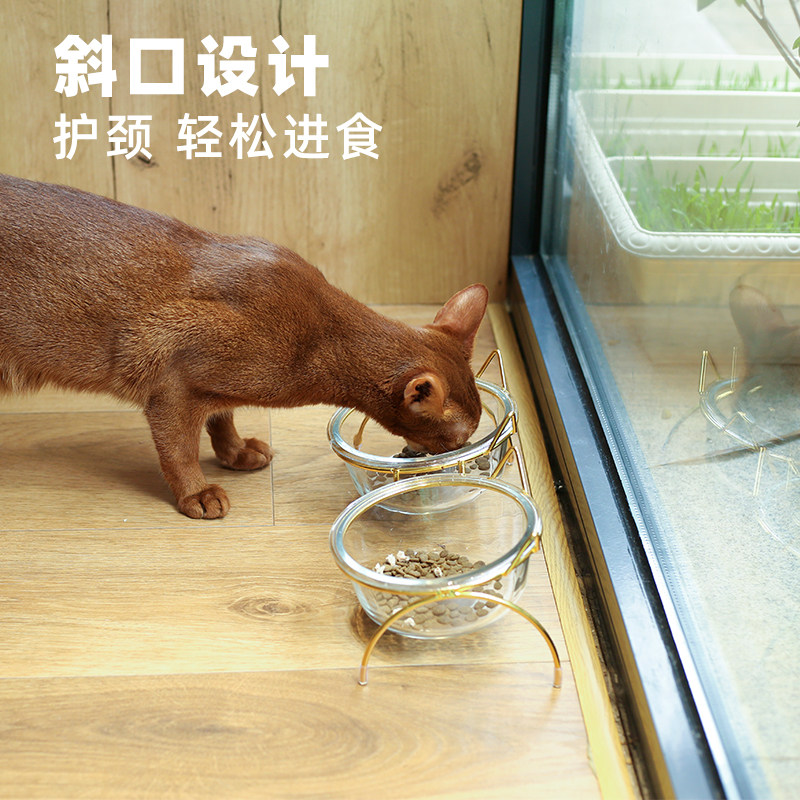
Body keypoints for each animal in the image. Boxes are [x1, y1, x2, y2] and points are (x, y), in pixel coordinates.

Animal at [0, 173, 488, 519]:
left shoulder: (210, 386)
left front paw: (235, 453)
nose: (465, 455)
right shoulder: (171, 379)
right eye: (457, 437)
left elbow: (222, 417)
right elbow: (178, 449)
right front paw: (198, 493)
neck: (319, 337)